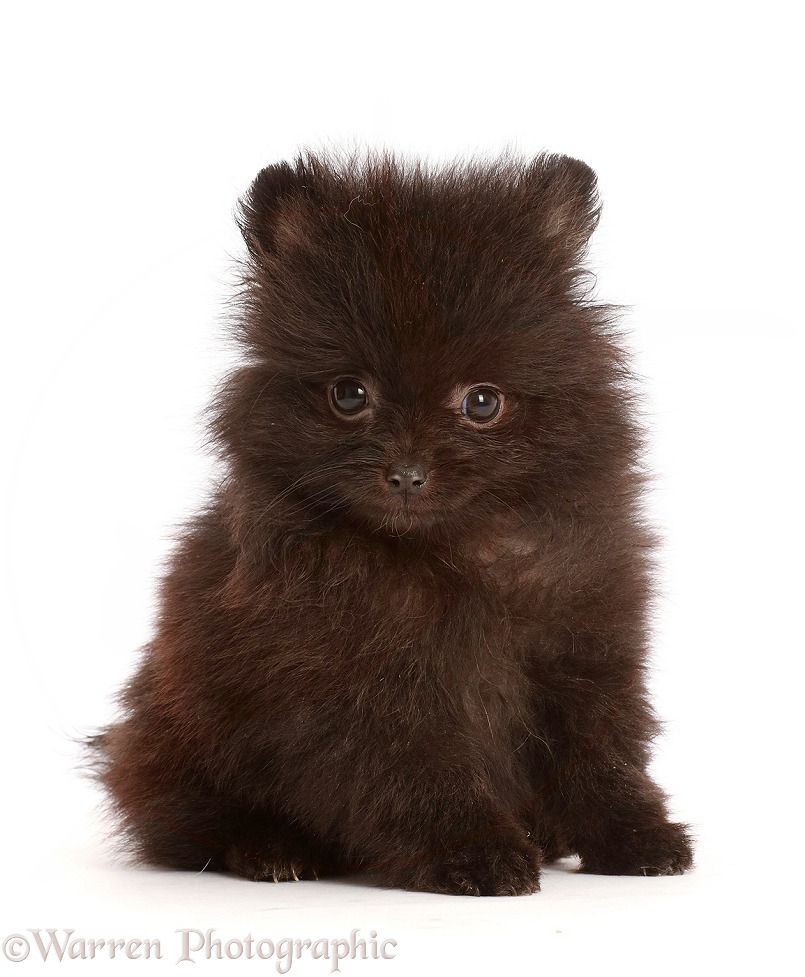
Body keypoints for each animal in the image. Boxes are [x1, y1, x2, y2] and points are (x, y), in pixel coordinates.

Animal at [89, 151, 692, 892]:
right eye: (349, 395)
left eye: (482, 402)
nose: (406, 472)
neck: (450, 554)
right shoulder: (366, 692)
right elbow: (422, 776)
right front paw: (475, 853)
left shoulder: (581, 650)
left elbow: (603, 761)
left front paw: (636, 835)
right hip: (178, 738)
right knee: (188, 818)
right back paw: (272, 848)